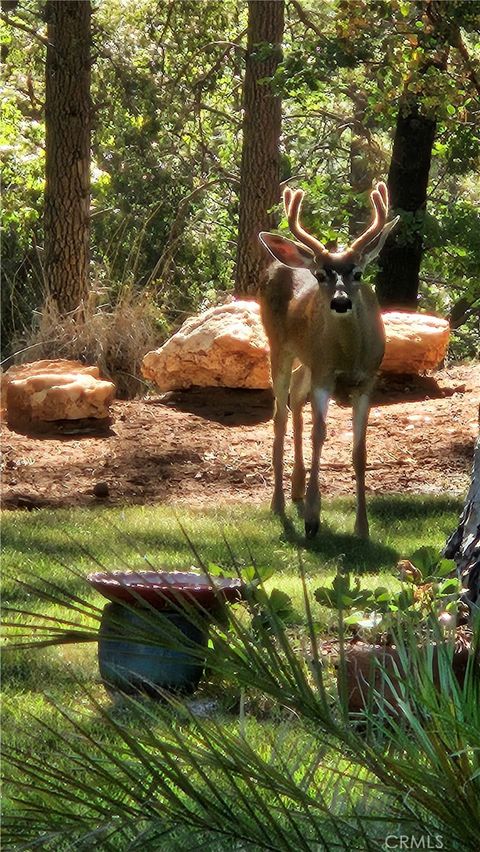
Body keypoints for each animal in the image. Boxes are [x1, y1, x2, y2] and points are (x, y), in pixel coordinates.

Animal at [258, 181, 398, 540]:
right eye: (321, 275)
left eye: (358, 273)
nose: (340, 302)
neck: (348, 354)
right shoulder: (324, 373)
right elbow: (319, 435)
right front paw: (312, 517)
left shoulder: (367, 379)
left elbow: (360, 451)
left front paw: (362, 527)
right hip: (279, 345)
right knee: (280, 414)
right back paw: (279, 502)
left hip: (307, 358)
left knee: (295, 395)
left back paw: (295, 487)